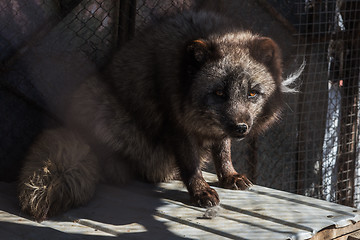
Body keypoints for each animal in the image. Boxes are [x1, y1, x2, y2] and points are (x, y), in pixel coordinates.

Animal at [19, 11, 300, 221]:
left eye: (252, 93)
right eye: (219, 92)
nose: (241, 127)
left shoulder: (218, 130)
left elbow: (223, 150)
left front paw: (229, 176)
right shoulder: (176, 123)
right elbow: (190, 164)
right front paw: (200, 191)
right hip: (96, 98)